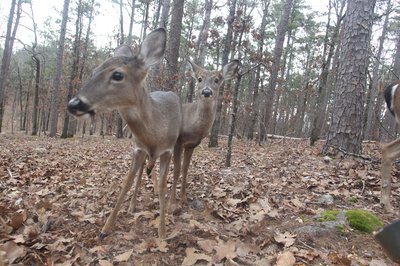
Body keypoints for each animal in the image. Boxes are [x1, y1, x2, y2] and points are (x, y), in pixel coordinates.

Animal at [67, 28, 183, 238]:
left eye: (118, 75)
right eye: (94, 71)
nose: (74, 104)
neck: (155, 134)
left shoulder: (167, 151)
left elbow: (163, 186)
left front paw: (162, 232)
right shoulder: (137, 148)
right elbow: (127, 183)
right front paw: (106, 228)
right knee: (141, 172)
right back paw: (132, 205)